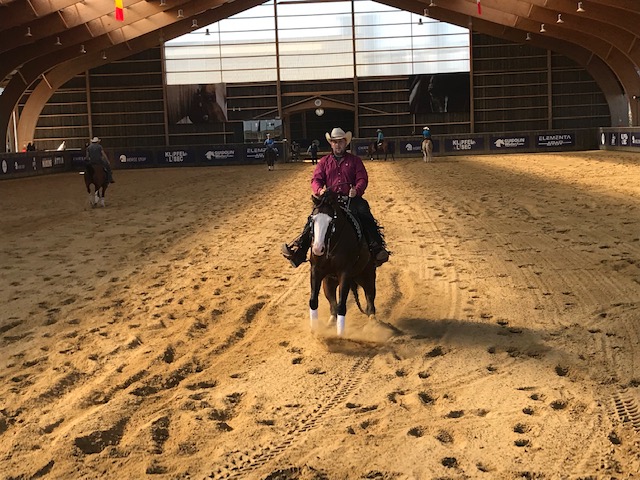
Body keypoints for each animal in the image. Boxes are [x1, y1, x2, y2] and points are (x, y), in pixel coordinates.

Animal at [308, 189, 378, 336]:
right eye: (312, 219)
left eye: (331, 221)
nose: (318, 248)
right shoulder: (316, 270)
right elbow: (313, 300)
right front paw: (315, 329)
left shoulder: (344, 274)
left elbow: (342, 305)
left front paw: (340, 335)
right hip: (328, 282)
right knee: (332, 303)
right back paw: (330, 323)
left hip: (367, 275)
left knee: (370, 297)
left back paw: (373, 322)